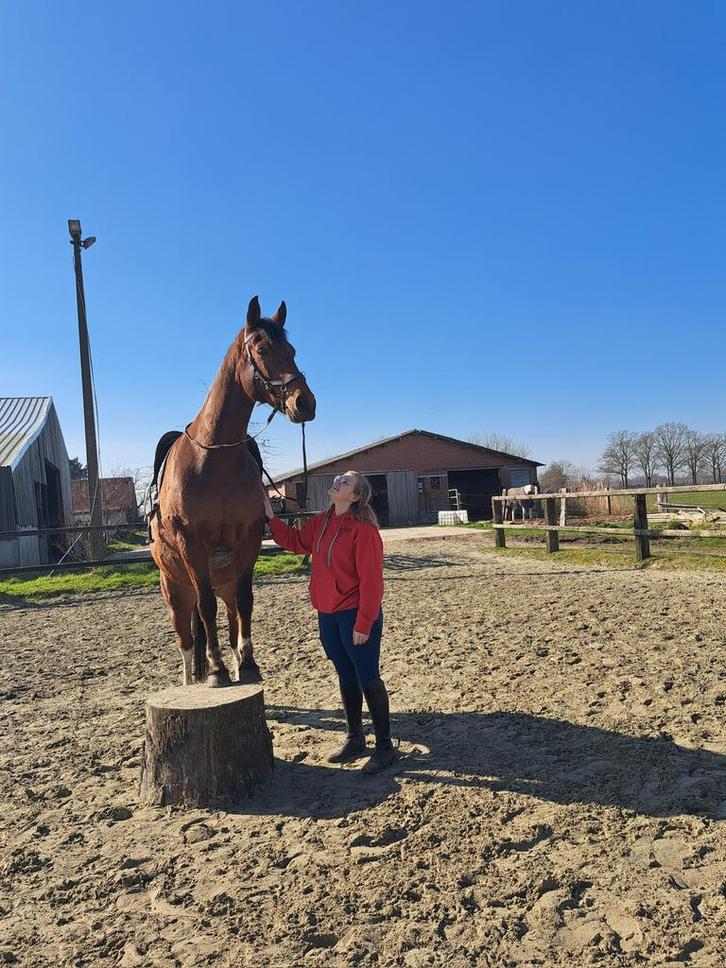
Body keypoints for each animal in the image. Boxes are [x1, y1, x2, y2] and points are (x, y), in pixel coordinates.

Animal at [150, 296, 316, 688]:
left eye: (292, 350)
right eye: (263, 348)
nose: (305, 403)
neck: (215, 458)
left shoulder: (248, 540)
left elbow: (245, 601)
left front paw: (249, 663)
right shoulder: (192, 545)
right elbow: (205, 608)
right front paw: (217, 670)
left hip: (218, 580)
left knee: (227, 616)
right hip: (175, 591)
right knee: (186, 639)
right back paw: (194, 677)